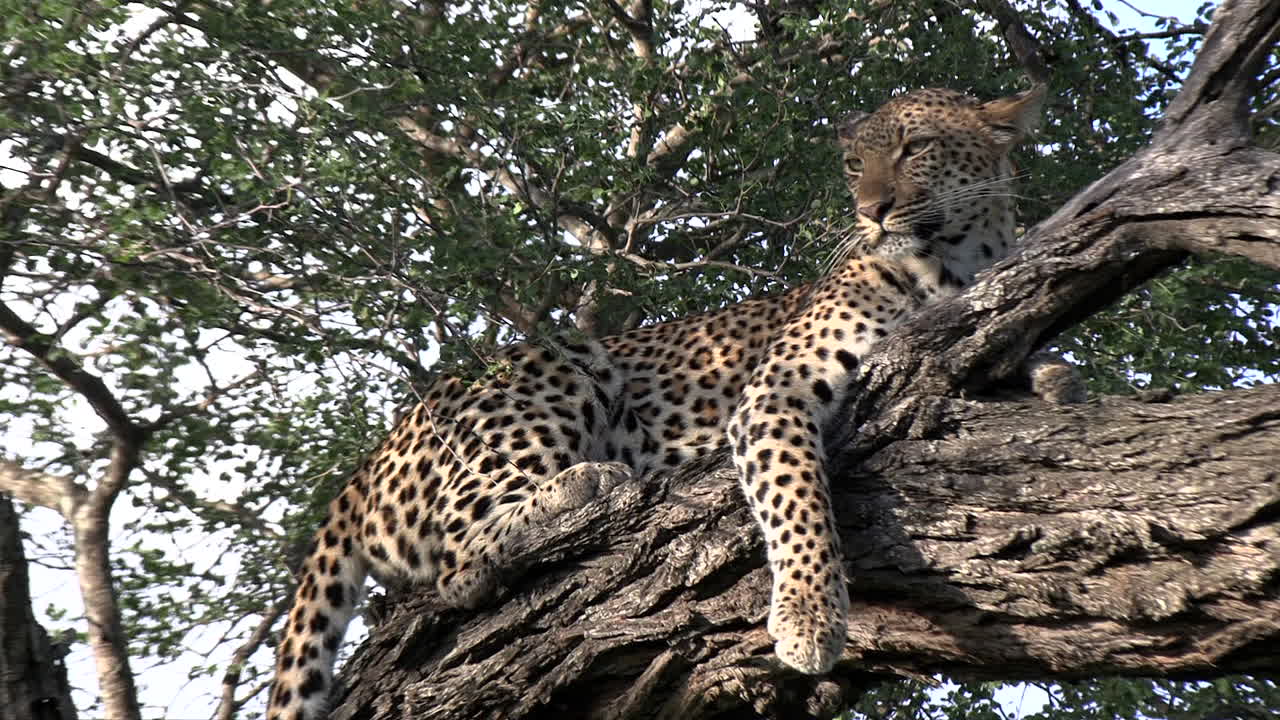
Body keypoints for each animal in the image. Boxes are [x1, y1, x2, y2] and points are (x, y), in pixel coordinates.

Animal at [267, 84, 1050, 720]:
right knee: (457, 559)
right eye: (857, 164)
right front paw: (808, 618)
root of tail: (368, 462)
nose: (871, 211)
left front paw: (1053, 377)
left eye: (917, 149)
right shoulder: (772, 392)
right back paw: (587, 483)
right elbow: (797, 499)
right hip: (559, 363)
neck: (954, 266)